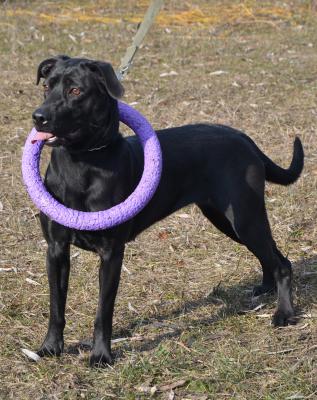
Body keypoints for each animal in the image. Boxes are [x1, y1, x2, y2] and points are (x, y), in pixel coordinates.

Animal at [32, 54, 304, 368]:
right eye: (47, 87)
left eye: (75, 90)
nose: (38, 117)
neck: (82, 162)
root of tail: (243, 138)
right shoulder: (56, 249)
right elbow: (56, 306)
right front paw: (50, 348)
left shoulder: (111, 253)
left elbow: (103, 311)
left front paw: (101, 355)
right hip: (229, 219)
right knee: (274, 254)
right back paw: (265, 288)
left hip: (244, 219)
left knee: (281, 263)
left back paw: (284, 313)